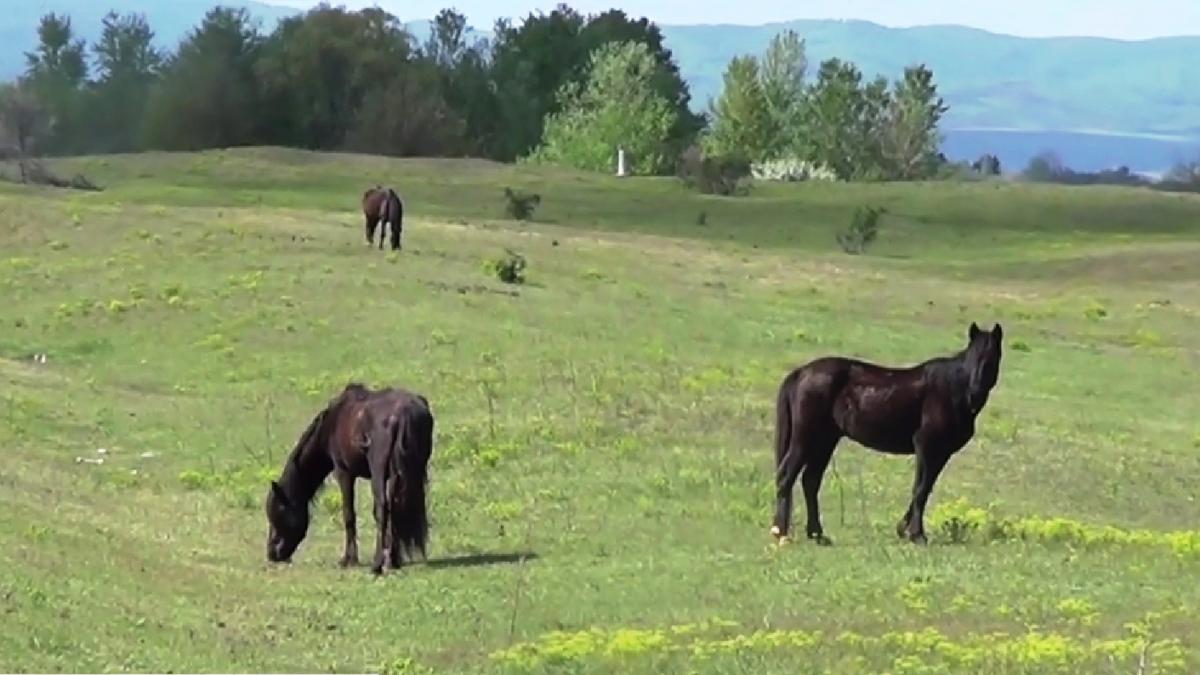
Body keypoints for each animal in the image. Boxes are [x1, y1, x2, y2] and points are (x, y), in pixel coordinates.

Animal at [265, 381, 434, 569]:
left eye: (278, 513)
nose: (272, 554)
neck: (331, 424)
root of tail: (403, 415)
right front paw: (392, 558)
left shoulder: (344, 473)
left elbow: (349, 514)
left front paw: (348, 559)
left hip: (378, 472)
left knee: (382, 508)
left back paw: (377, 564)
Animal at [768, 317, 1003, 542]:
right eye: (973, 357)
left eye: (992, 358)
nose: (975, 394)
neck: (951, 389)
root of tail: (801, 372)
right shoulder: (927, 446)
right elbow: (920, 489)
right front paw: (916, 534)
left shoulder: (941, 452)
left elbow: (925, 488)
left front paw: (903, 529)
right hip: (805, 439)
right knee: (786, 477)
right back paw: (781, 533)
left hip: (825, 441)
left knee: (810, 481)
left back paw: (817, 534)